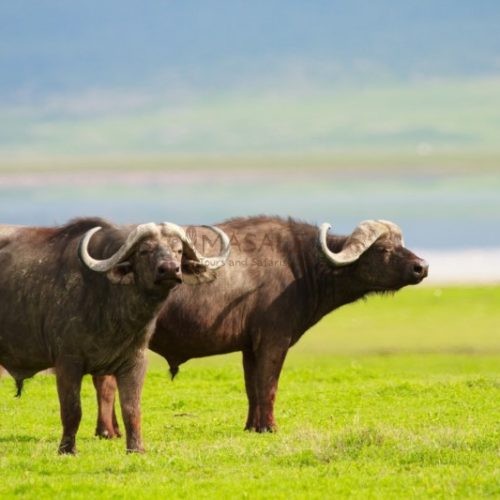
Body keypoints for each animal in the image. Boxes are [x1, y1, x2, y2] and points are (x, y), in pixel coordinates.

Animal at [0, 216, 229, 454]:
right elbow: (72, 410)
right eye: (144, 251)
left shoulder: (135, 362)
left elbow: (131, 408)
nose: (169, 270)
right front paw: (67, 449)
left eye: (178, 250)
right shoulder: (67, 362)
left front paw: (136, 448)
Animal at [93, 217, 426, 436]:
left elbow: (252, 387)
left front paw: (253, 426)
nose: (421, 267)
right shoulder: (274, 341)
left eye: (400, 244)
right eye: (382, 250)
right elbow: (269, 385)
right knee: (105, 382)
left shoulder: (250, 348)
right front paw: (269, 426)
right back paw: (108, 432)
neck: (300, 265)